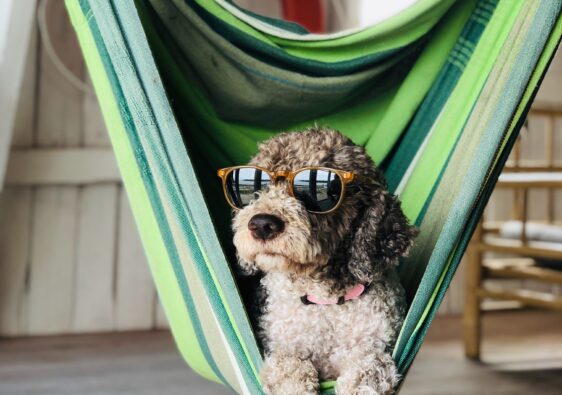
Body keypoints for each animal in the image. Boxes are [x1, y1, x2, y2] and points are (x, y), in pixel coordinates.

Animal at [224, 128, 416, 394]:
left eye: (321, 192)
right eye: (257, 186)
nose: (262, 224)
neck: (325, 303)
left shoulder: (374, 346)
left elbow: (368, 368)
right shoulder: (280, 349)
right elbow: (289, 368)